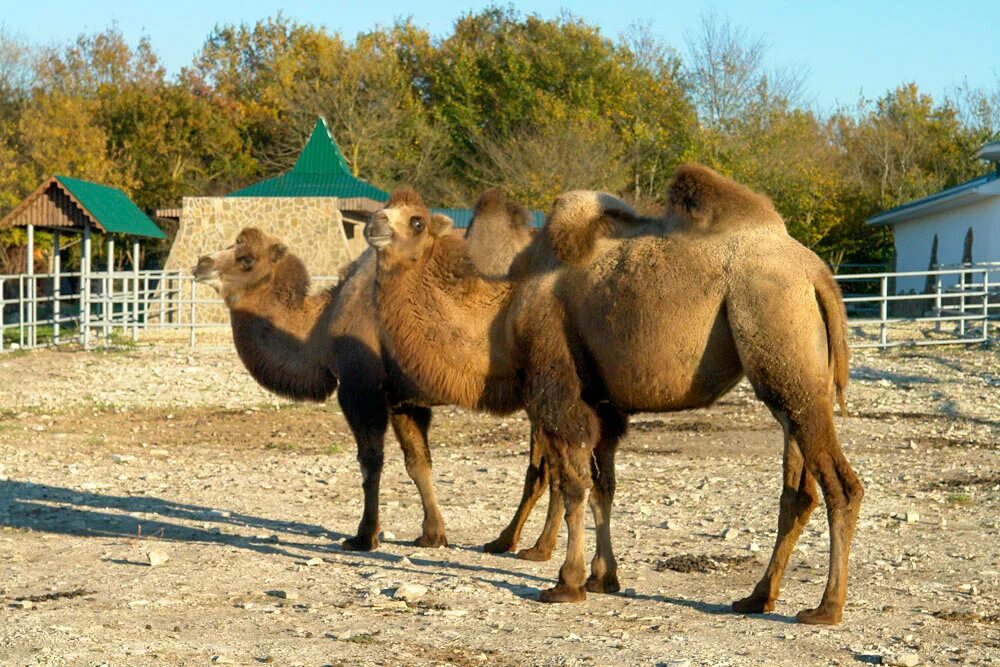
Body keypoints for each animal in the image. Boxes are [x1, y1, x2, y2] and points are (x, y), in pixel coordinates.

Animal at [189, 211, 564, 556]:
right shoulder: (404, 399)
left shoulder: (359, 387)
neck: (321, 326)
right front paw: (432, 535)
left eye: (246, 258)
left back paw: (533, 547)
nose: (201, 263)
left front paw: (364, 536)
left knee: (549, 468)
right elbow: (418, 464)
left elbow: (370, 462)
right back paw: (508, 542)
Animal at [364, 164, 864, 624]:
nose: (371, 225)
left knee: (841, 486)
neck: (502, 319)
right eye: (385, 208)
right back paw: (757, 598)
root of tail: (817, 274)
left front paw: (565, 583)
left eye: (416, 221)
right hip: (795, 378)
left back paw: (826, 608)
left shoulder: (559, 391)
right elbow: (603, 487)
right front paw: (603, 577)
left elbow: (573, 486)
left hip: (777, 336)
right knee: (797, 492)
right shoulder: (603, 404)